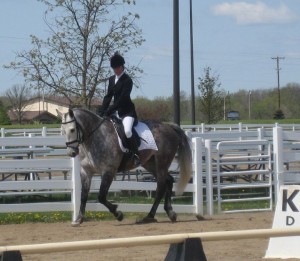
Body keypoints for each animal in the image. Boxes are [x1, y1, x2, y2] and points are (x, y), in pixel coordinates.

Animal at [57, 107, 191, 225]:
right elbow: (84, 196)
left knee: (160, 188)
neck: (95, 138)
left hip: (162, 163)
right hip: (150, 164)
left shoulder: (109, 171)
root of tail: (169, 127)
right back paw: (169, 213)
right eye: (63, 131)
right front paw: (79, 219)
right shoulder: (86, 172)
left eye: (72, 130)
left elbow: (101, 196)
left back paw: (150, 216)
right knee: (169, 181)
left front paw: (118, 214)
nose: (71, 153)